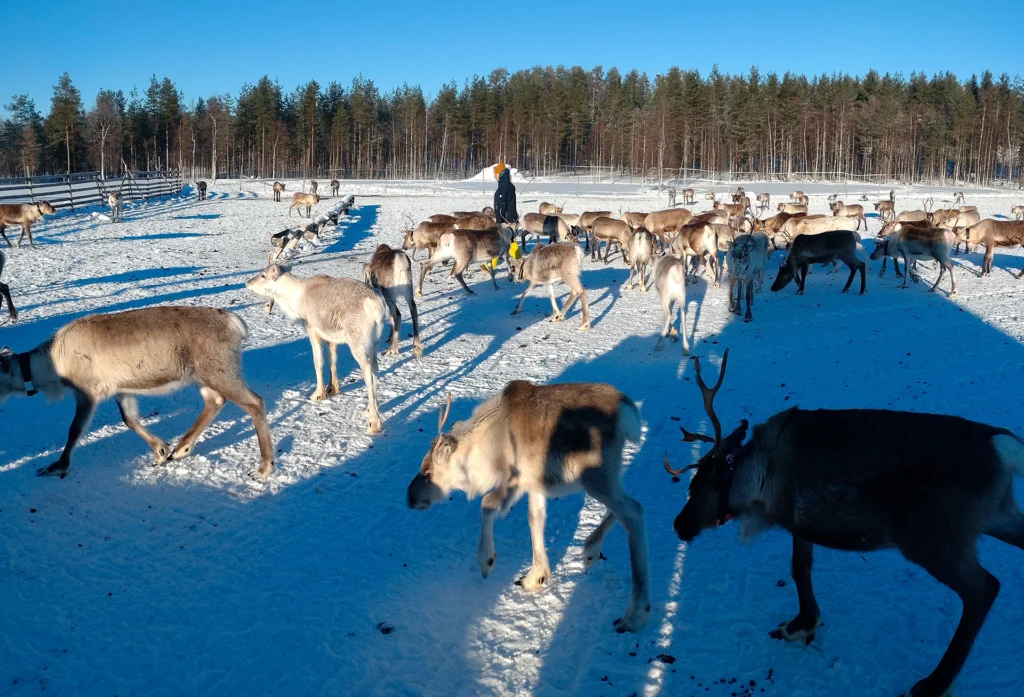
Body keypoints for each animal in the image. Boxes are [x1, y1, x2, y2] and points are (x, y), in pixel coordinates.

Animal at [0, 307, 275, 479]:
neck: (50, 364)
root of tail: (235, 323)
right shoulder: (121, 389)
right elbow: (129, 420)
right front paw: (160, 451)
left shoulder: (87, 392)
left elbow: (74, 430)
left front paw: (57, 466)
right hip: (203, 376)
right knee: (215, 401)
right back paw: (180, 449)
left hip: (219, 371)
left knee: (255, 402)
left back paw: (263, 469)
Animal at [246, 264, 387, 434]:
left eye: (263, 275)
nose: (247, 283)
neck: (294, 299)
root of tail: (377, 306)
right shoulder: (330, 336)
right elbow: (332, 359)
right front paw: (332, 389)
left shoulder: (313, 330)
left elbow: (318, 361)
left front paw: (317, 394)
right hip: (374, 342)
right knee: (375, 367)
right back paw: (371, 409)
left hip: (358, 341)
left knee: (367, 370)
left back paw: (373, 422)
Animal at [407, 383, 650, 633]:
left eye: (428, 473)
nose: (410, 498)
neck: (485, 446)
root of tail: (627, 412)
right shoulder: (534, 483)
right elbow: (535, 519)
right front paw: (535, 576)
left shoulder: (514, 480)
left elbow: (487, 504)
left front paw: (486, 560)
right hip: (607, 475)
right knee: (631, 504)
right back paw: (591, 550)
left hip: (594, 476)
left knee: (633, 511)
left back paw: (635, 614)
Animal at [667, 348, 1024, 697]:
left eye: (695, 487)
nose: (678, 525)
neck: (759, 477)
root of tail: (1003, 446)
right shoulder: (801, 522)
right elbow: (801, 567)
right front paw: (803, 623)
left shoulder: (793, 517)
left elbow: (798, 569)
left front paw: (798, 625)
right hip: (997, 514)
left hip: (932, 538)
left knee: (983, 589)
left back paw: (933, 684)